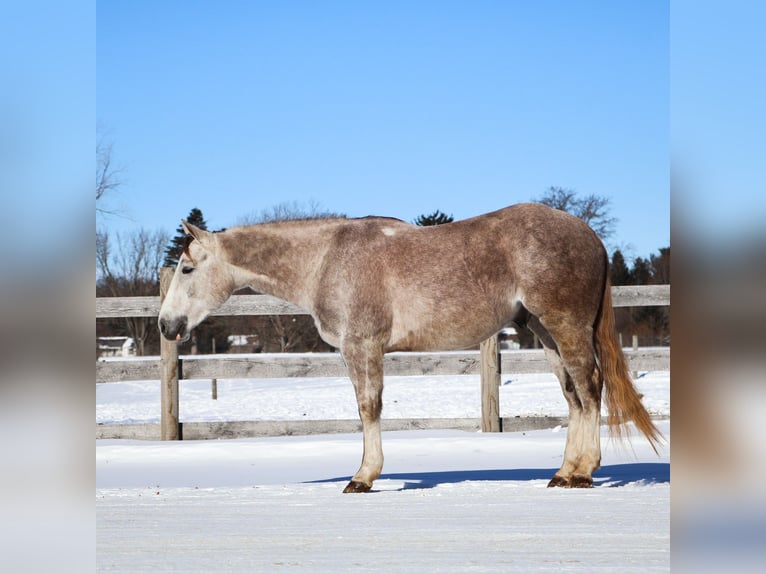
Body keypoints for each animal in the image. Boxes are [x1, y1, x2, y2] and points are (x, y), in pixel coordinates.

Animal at [158, 202, 662, 492]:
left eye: (186, 268)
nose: (166, 325)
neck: (326, 260)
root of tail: (589, 235)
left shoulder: (362, 347)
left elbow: (368, 408)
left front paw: (363, 477)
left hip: (566, 327)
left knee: (591, 388)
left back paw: (584, 472)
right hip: (545, 332)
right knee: (575, 396)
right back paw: (564, 472)